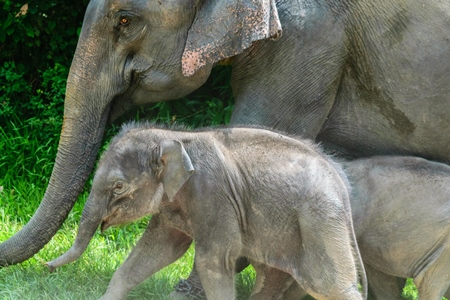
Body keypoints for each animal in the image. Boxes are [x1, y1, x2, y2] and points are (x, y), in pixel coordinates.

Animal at [45, 123, 366, 298]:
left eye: (119, 186)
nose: (46, 265)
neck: (173, 136)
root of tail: (341, 181)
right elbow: (158, 250)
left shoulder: (214, 195)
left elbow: (213, 259)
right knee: (274, 282)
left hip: (320, 221)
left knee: (330, 286)